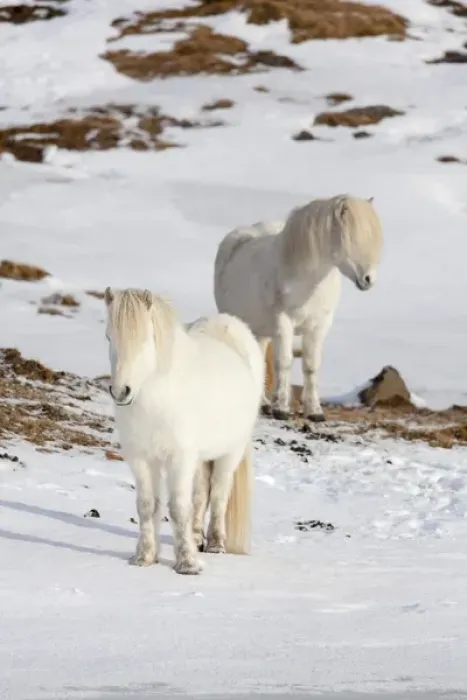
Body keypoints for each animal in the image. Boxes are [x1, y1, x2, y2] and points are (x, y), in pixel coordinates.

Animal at [104, 287, 264, 575]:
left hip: (230, 452)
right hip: (200, 457)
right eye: (108, 337)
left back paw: (215, 544)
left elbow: (179, 508)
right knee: (201, 494)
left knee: (219, 492)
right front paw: (144, 557)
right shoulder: (141, 458)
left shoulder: (179, 458)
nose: (121, 392)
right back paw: (197, 537)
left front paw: (187, 564)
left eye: (145, 340)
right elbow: (147, 506)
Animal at [214, 194, 383, 422]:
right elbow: (284, 362)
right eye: (352, 238)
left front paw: (314, 411)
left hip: (262, 332)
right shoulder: (283, 323)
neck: (307, 279)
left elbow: (311, 366)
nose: (368, 280)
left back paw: (264, 403)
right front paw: (281, 410)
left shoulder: (319, 326)